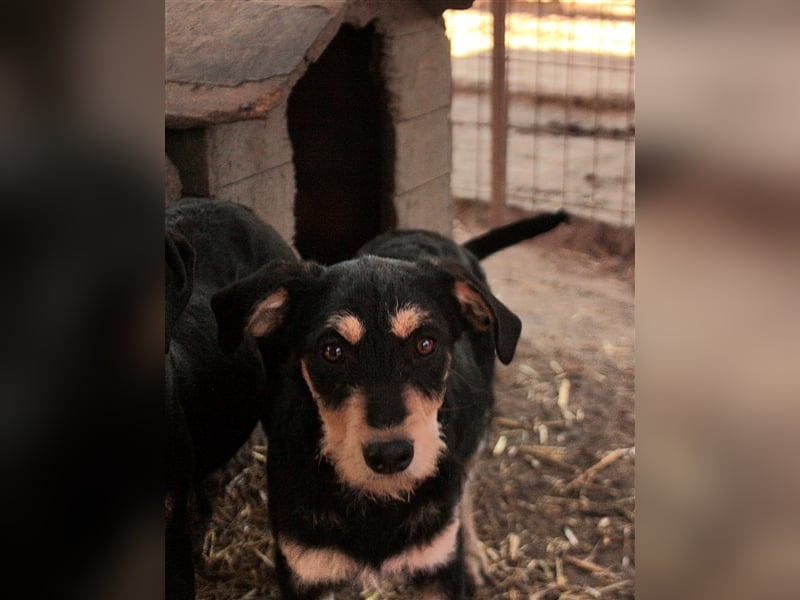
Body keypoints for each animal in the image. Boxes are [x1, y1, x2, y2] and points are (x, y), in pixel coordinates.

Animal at [212, 209, 568, 596]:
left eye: (425, 345)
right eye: (332, 350)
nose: (389, 456)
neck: (377, 502)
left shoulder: (437, 567)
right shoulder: (304, 570)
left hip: (479, 426)